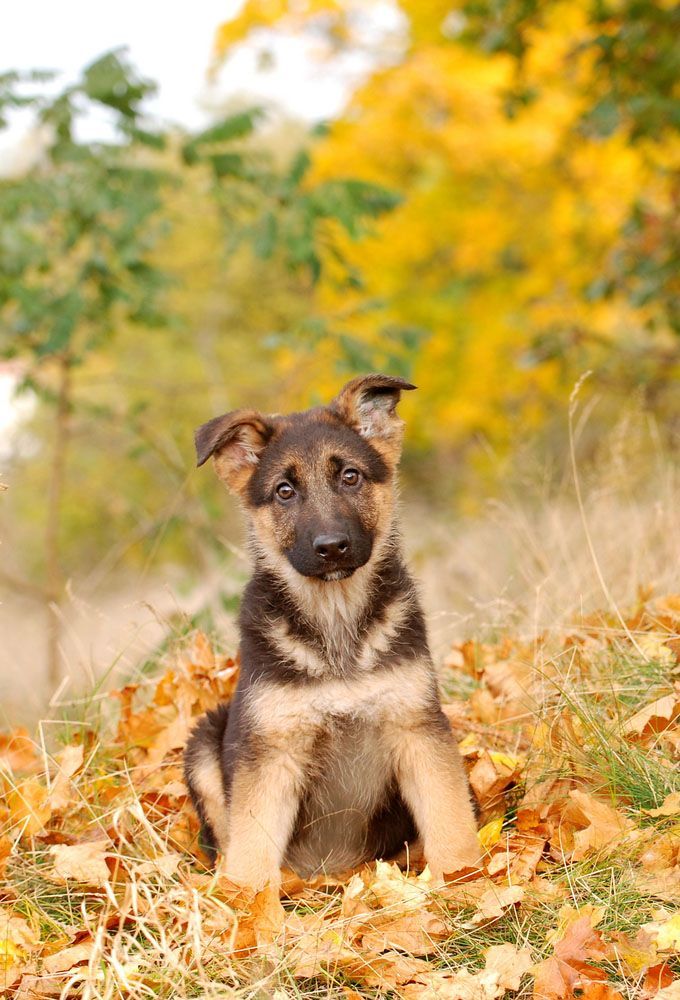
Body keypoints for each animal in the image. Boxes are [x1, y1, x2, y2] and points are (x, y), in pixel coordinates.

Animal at [185, 376, 478, 892]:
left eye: (350, 477)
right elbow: (251, 850)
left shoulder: (417, 727)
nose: (332, 548)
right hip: (204, 741)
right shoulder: (271, 751)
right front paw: (245, 905)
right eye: (284, 491)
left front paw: (469, 881)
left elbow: (449, 817)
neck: (335, 620)